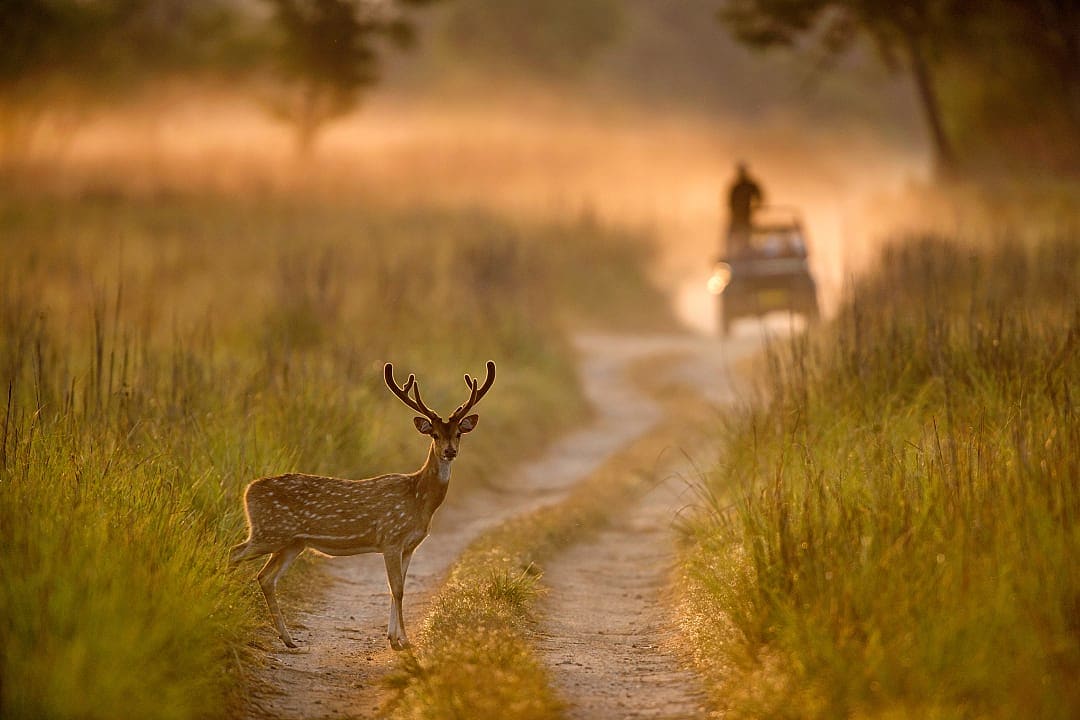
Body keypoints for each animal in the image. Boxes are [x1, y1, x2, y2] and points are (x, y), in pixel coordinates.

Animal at [229, 360, 495, 651]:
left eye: (458, 433)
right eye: (434, 434)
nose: (449, 451)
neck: (418, 500)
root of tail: (248, 490)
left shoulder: (409, 546)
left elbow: (397, 588)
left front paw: (394, 637)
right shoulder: (391, 537)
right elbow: (398, 589)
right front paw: (403, 641)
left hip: (292, 542)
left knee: (266, 577)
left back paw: (288, 639)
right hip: (269, 531)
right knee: (235, 552)